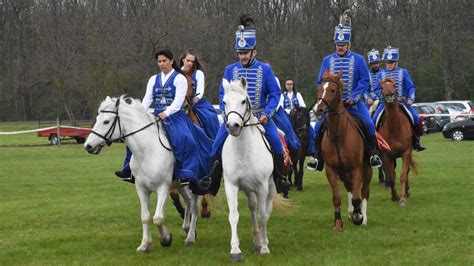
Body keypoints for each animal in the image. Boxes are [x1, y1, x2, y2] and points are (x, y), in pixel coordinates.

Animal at [83, 95, 198, 251]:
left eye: (106, 121)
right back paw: (187, 228)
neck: (147, 152)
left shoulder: (163, 188)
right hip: (180, 185)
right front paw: (145, 243)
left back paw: (190, 237)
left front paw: (166, 239)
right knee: (188, 201)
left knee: (194, 207)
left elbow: (158, 218)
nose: (88, 146)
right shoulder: (141, 189)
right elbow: (145, 216)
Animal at [222, 78, 292, 262]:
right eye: (224, 102)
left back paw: (262, 242)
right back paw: (256, 240)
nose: (233, 126)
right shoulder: (231, 186)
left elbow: (263, 216)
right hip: (248, 190)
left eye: (243, 101)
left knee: (265, 211)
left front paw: (265, 248)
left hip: (271, 188)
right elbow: (234, 216)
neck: (243, 151)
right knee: (253, 208)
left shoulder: (262, 187)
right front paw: (235, 250)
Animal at [312, 69, 372, 230]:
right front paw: (338, 223)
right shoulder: (332, 170)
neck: (338, 134)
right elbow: (337, 198)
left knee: (364, 191)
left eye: (333, 90)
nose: (318, 110)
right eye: (319, 89)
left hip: (367, 169)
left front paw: (358, 217)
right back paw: (351, 213)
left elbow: (358, 197)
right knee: (350, 187)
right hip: (343, 172)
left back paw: (363, 218)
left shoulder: (356, 168)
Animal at [376, 77, 416, 206]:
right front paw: (395, 196)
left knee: (406, 171)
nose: (390, 95)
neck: (395, 128)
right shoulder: (386, 155)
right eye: (382, 87)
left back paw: (407, 192)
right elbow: (391, 176)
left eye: (394, 85)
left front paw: (403, 199)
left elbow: (403, 175)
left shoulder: (406, 153)